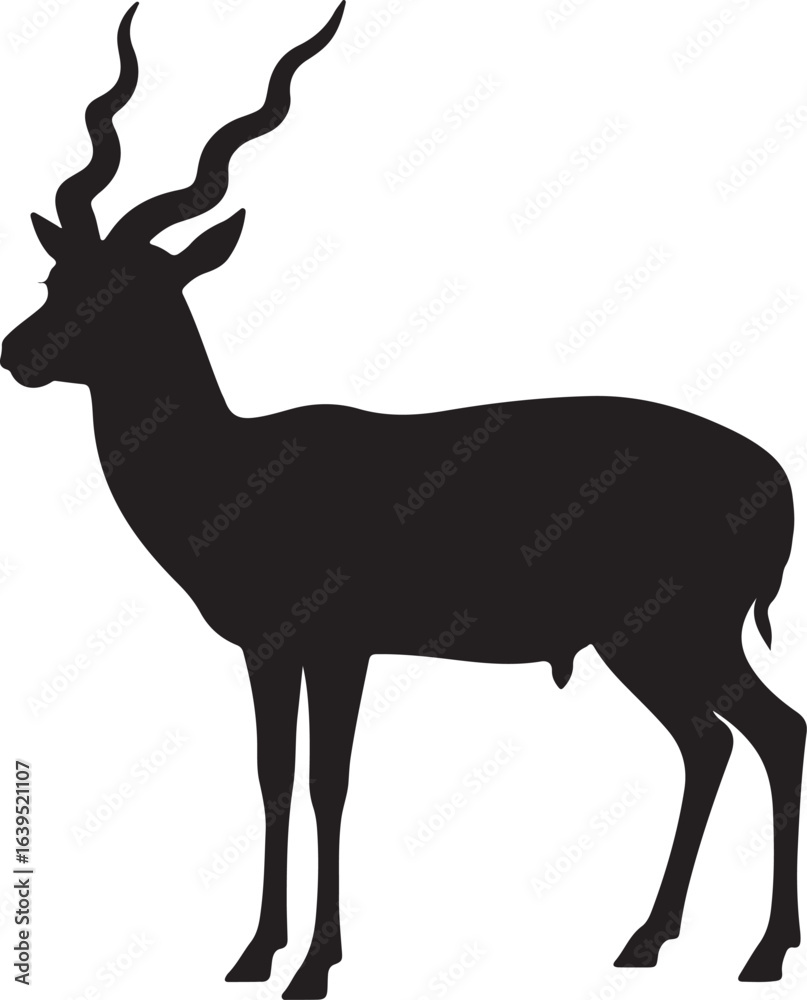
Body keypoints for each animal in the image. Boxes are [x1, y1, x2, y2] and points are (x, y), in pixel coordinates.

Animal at [2, 2, 804, 995]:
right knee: (714, 743)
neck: (236, 467)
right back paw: (648, 940)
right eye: (55, 276)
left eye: (127, 289)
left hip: (675, 632)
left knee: (772, 734)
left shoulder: (340, 645)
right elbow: (273, 779)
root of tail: (775, 479)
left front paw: (314, 964)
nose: (17, 352)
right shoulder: (271, 650)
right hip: (652, 643)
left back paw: (759, 953)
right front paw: (253, 955)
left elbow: (329, 786)